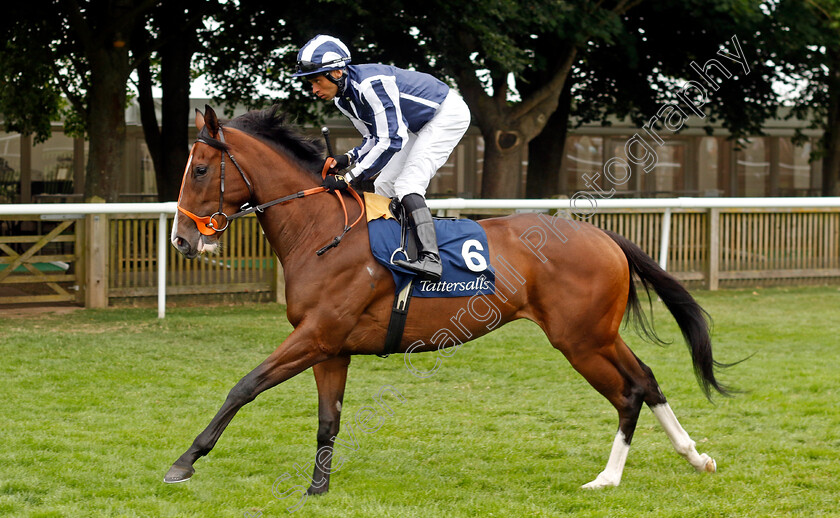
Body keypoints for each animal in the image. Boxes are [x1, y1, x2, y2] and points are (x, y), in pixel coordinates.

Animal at [166, 103, 728, 494]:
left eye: (199, 169)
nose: (183, 241)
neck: (323, 231)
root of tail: (604, 236)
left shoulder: (316, 335)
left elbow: (244, 386)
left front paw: (184, 461)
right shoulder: (331, 347)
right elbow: (329, 420)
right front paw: (317, 488)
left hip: (581, 340)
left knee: (627, 393)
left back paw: (607, 478)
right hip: (598, 335)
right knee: (646, 380)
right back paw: (693, 456)